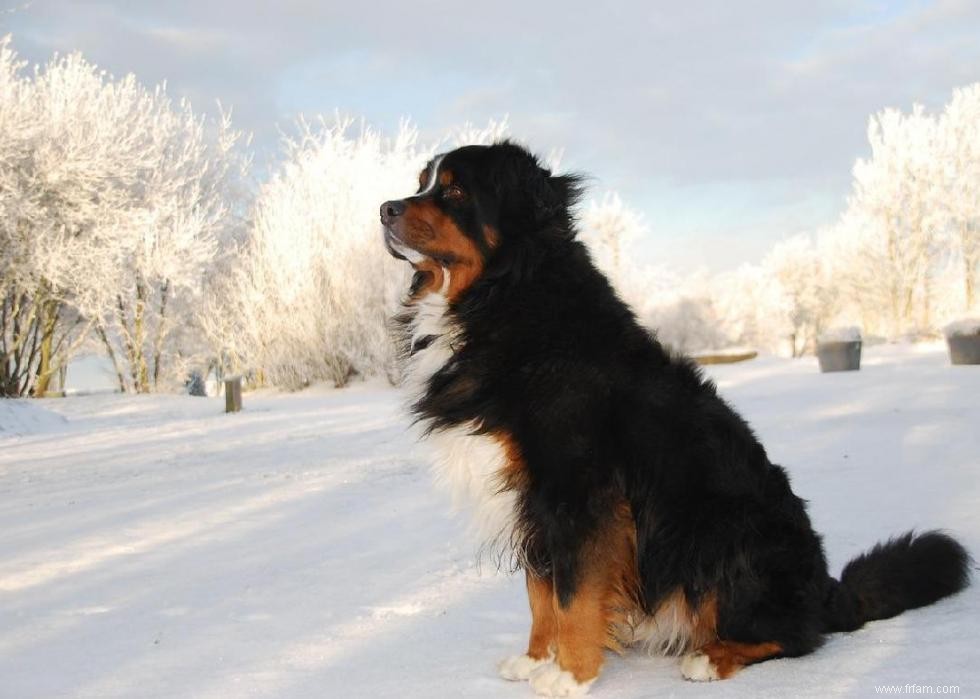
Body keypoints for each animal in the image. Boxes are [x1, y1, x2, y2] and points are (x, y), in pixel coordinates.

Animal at [378, 142, 968, 699]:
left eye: (455, 191)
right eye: (422, 182)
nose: (385, 209)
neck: (506, 296)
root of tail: (828, 589)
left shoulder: (577, 490)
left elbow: (572, 592)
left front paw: (570, 674)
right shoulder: (533, 498)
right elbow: (541, 591)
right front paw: (536, 659)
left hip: (726, 536)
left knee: (796, 635)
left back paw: (712, 657)